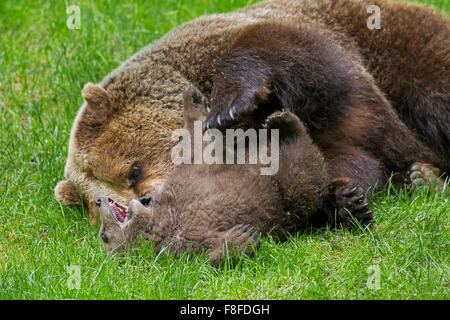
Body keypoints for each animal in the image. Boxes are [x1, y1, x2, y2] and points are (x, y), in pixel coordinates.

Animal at [54, 0, 448, 225]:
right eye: (104, 202)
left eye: (133, 170)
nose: (148, 200)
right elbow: (344, 163)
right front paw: (344, 200)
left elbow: (289, 54)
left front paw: (228, 106)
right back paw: (420, 176)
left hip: (407, 48)